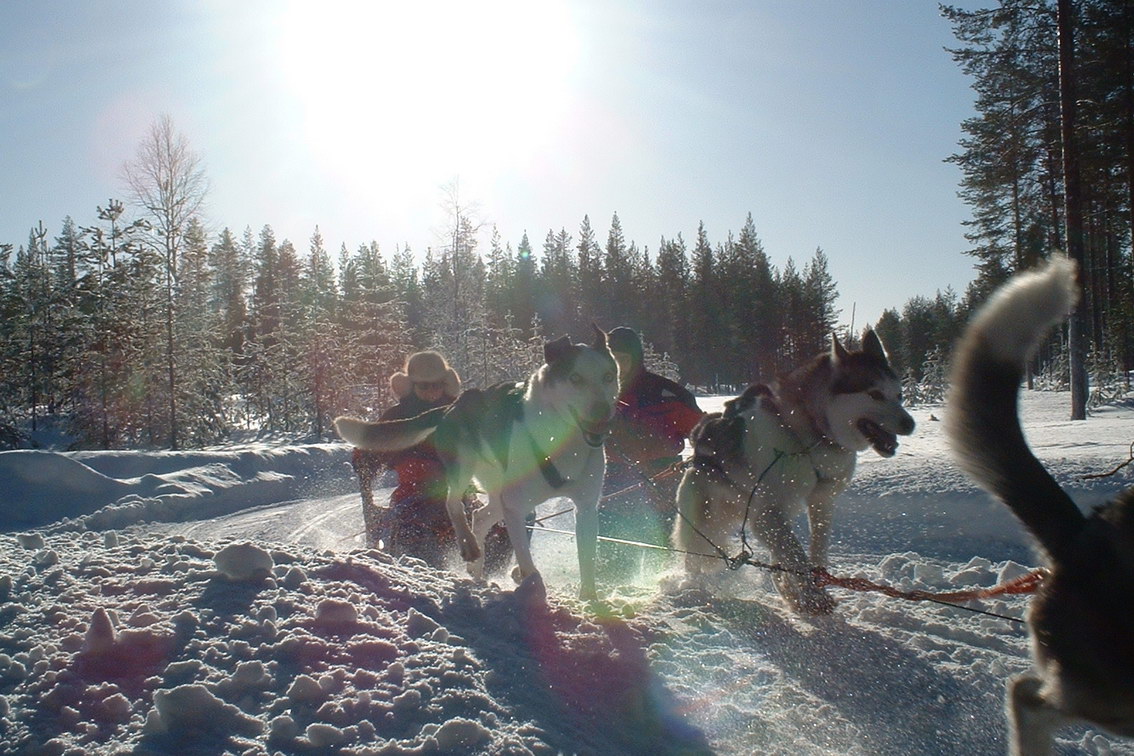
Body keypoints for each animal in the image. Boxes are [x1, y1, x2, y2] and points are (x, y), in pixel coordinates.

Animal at [335, 328, 621, 598]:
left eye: (609, 376)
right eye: (575, 378)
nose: (603, 413)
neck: (559, 442)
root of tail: (454, 405)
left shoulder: (585, 508)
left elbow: (587, 561)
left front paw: (590, 600)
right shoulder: (515, 507)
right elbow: (526, 560)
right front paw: (532, 587)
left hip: (497, 491)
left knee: (481, 515)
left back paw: (477, 564)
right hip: (465, 468)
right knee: (454, 504)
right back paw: (468, 545)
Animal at [666, 330, 916, 616]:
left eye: (899, 395)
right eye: (875, 394)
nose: (910, 423)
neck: (806, 435)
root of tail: (698, 445)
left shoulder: (820, 503)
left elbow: (814, 552)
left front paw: (812, 591)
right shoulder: (767, 514)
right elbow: (798, 558)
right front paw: (813, 596)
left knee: (777, 559)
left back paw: (789, 594)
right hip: (707, 523)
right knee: (697, 557)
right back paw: (695, 588)